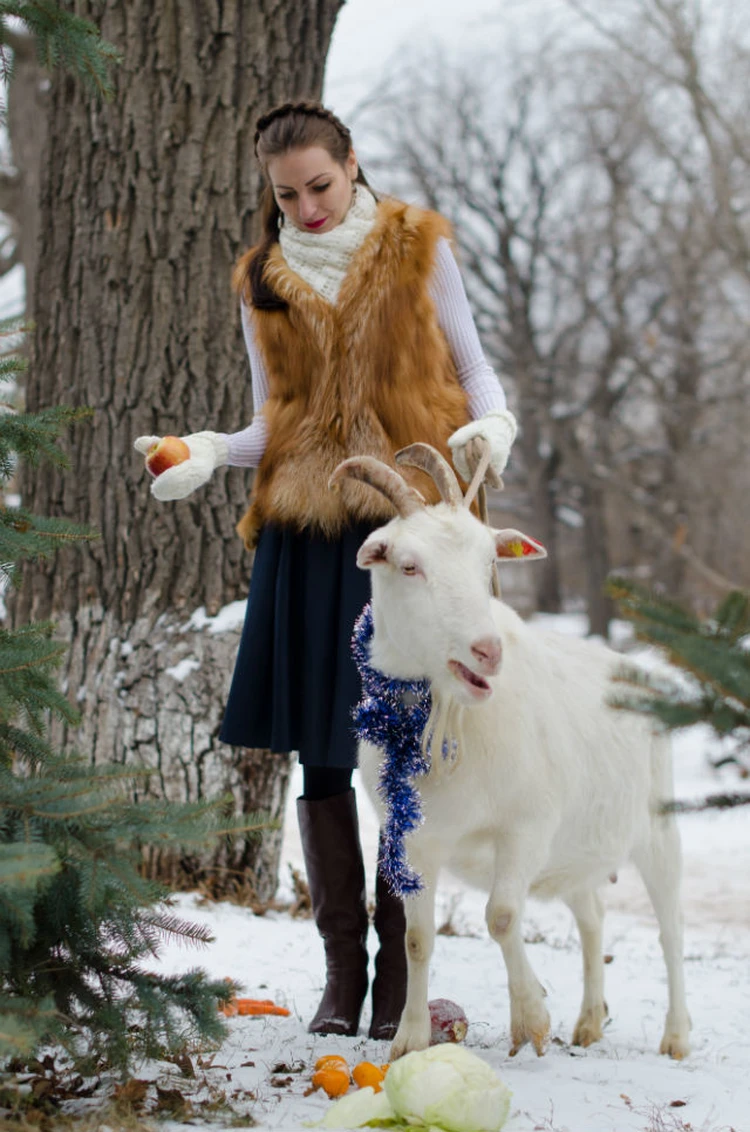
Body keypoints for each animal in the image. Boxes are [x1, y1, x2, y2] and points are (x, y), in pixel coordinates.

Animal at [332, 443, 692, 1059]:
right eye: (408, 565)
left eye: (486, 563)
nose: (487, 651)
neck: (447, 729)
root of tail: (644, 674)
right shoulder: (416, 842)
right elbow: (417, 938)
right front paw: (409, 1040)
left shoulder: (527, 826)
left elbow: (501, 916)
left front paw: (532, 1018)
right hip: (578, 850)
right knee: (593, 916)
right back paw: (589, 1023)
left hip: (656, 830)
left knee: (670, 928)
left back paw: (676, 1037)